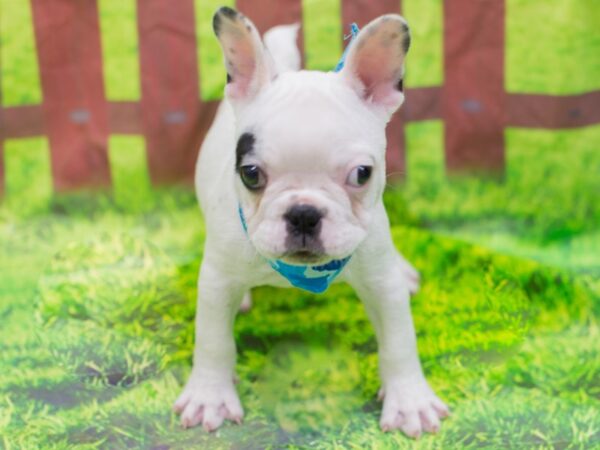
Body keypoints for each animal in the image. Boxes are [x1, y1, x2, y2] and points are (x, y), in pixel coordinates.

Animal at [172, 5, 446, 438]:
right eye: (250, 174)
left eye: (362, 174)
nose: (303, 212)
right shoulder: (216, 282)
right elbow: (213, 341)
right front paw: (209, 397)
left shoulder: (381, 282)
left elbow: (400, 342)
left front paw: (410, 402)